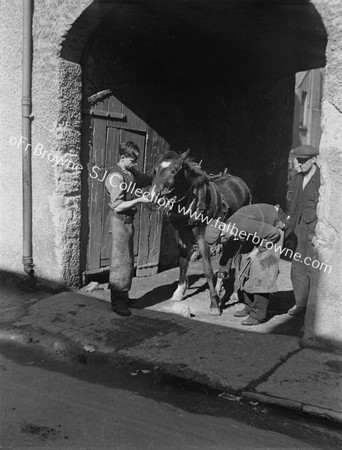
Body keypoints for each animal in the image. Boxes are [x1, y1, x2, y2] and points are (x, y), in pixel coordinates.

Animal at [152, 149, 251, 314]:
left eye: (173, 171)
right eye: (155, 170)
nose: (153, 193)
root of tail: (240, 182)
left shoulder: (203, 240)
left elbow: (208, 269)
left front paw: (214, 304)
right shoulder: (181, 237)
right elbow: (183, 263)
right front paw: (179, 292)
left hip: (238, 235)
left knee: (237, 260)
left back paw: (235, 292)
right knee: (227, 260)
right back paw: (220, 287)